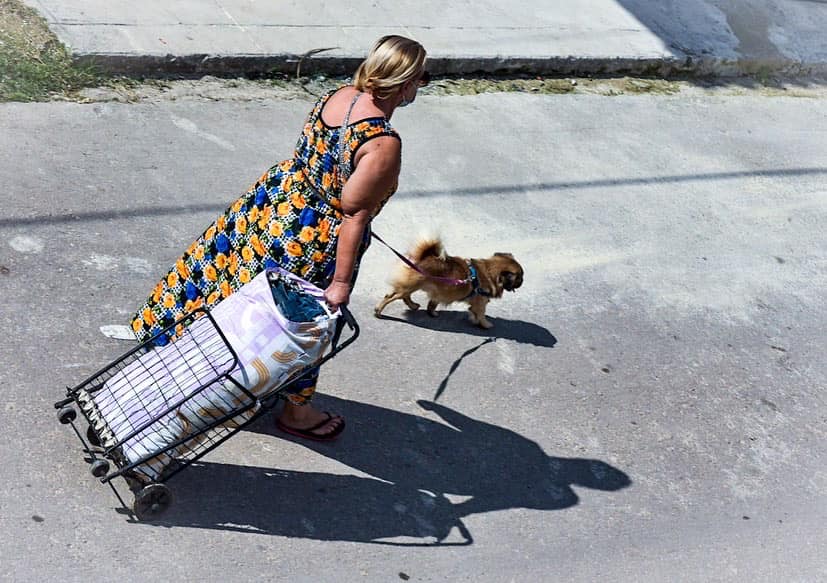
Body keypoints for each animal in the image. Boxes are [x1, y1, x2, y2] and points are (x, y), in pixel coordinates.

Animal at [376, 237, 524, 328]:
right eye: (519, 277)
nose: (522, 281)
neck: (489, 272)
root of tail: (423, 257)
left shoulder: (439, 293)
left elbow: (433, 305)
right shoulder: (481, 303)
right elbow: (481, 314)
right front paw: (485, 324)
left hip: (411, 286)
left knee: (403, 296)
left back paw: (413, 306)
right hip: (410, 286)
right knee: (391, 297)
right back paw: (378, 310)